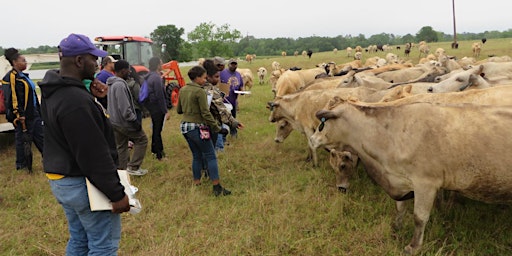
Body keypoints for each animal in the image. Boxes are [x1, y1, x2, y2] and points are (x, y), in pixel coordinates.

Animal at [312, 93, 512, 254]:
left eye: (323, 124)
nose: (312, 140)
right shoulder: (402, 180)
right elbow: (400, 208)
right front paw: (395, 227)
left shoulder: (426, 183)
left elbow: (419, 217)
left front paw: (413, 247)